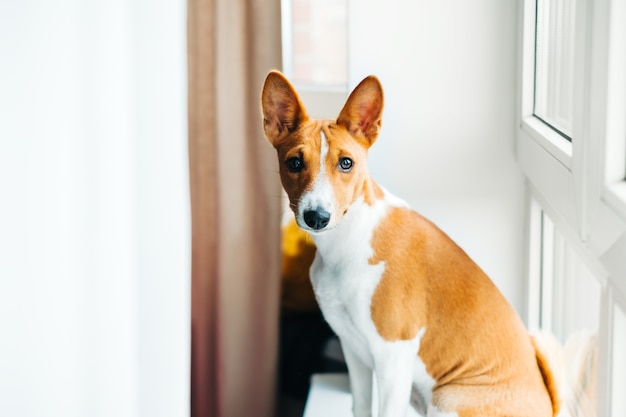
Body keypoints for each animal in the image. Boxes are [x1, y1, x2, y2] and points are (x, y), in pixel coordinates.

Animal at [258, 71, 556, 416]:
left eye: (346, 163)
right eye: (294, 162)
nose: (316, 216)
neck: (347, 242)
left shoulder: (393, 356)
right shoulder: (354, 351)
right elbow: (360, 407)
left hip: (447, 398)